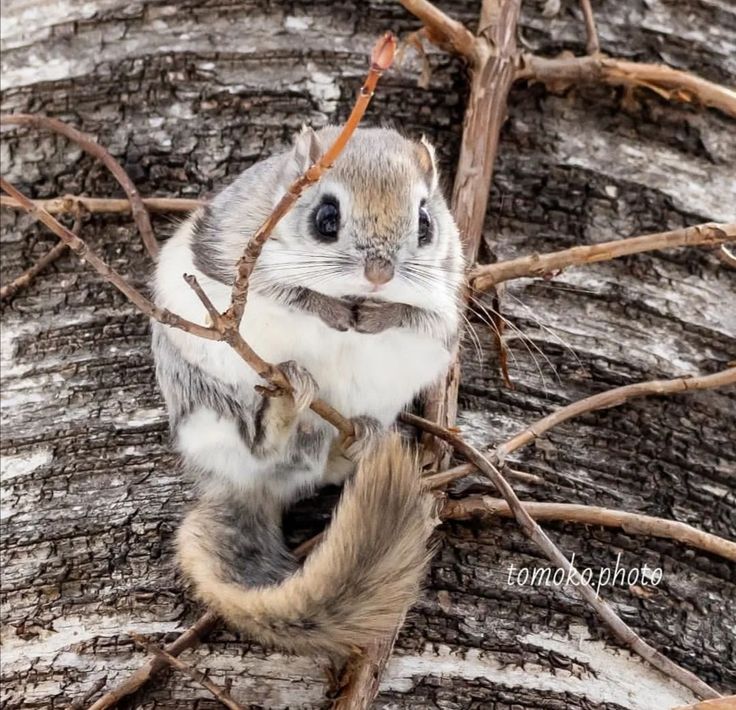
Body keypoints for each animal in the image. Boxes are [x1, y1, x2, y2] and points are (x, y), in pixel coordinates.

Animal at [152, 125, 462, 660]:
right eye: (326, 218)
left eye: (425, 223)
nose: (379, 276)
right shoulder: (235, 256)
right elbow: (289, 292)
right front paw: (328, 308)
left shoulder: (446, 299)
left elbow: (419, 315)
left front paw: (381, 315)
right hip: (207, 406)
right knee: (258, 444)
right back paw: (283, 402)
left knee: (321, 461)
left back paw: (358, 438)